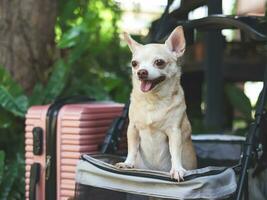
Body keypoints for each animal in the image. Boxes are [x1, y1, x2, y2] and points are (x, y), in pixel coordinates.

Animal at [116, 25, 198, 180]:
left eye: (159, 62)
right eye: (134, 64)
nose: (141, 72)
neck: (153, 100)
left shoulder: (174, 132)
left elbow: (175, 152)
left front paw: (177, 169)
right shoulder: (133, 129)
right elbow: (132, 148)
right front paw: (128, 163)